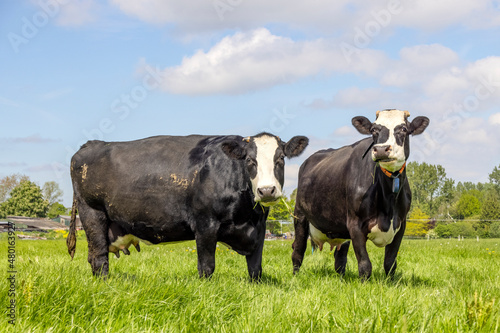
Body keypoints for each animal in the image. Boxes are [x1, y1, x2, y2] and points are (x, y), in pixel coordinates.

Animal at [66, 132, 308, 278]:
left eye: (280, 159)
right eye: (250, 160)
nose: (266, 190)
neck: (245, 216)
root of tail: (91, 144)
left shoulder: (259, 228)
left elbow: (255, 269)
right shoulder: (205, 224)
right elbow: (207, 267)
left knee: (94, 256)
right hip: (92, 213)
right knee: (99, 258)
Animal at [292, 110, 430, 278]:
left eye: (404, 129)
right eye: (373, 130)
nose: (381, 149)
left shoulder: (400, 224)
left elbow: (390, 263)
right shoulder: (355, 223)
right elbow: (365, 264)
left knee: (340, 259)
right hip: (300, 216)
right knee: (298, 252)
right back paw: (295, 277)